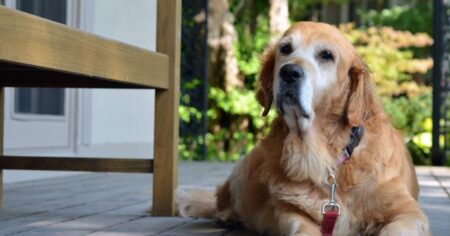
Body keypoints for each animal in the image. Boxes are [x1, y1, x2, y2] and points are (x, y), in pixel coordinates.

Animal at [176, 21, 428, 235]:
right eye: (285, 49)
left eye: (326, 55)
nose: (289, 72)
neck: (321, 157)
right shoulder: (290, 212)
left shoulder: (408, 212)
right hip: (243, 172)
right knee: (222, 197)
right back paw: (228, 216)